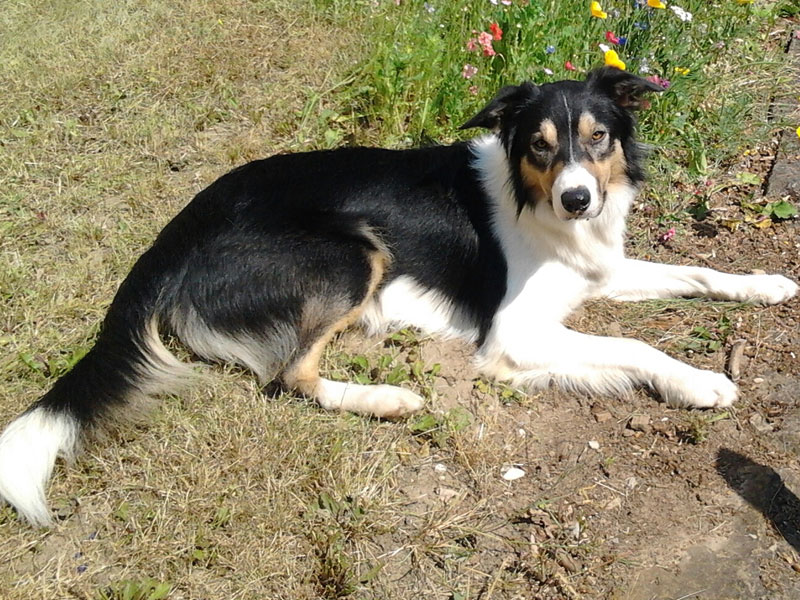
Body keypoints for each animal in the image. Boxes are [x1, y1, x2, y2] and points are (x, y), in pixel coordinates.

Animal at [0, 68, 796, 524]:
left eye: (598, 137)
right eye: (539, 145)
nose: (578, 199)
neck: (536, 202)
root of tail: (174, 233)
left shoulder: (598, 268)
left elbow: (697, 272)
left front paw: (767, 284)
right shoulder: (512, 330)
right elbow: (633, 342)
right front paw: (699, 383)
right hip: (353, 253)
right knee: (289, 376)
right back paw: (387, 399)